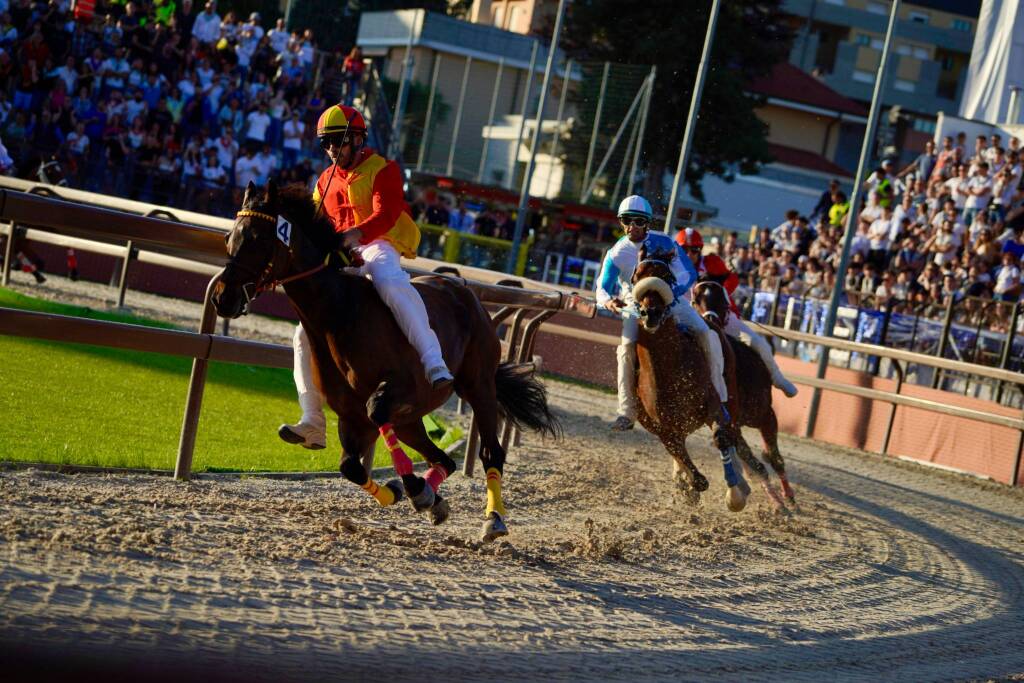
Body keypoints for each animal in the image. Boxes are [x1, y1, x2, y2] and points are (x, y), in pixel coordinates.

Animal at [209, 179, 561, 540]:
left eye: (257, 239)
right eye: (229, 237)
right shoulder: (351, 416)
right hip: (411, 420)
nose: (223, 297)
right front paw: (401, 491)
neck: (340, 313)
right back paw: (433, 496)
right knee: (443, 460)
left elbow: (375, 410)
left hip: (478, 387)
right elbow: (349, 466)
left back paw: (493, 518)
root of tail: (465, 293)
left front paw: (412, 485)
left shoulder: (401, 389)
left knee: (491, 451)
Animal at [622, 246, 753, 511]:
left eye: (667, 276)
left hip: (731, 396)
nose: (651, 313)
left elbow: (721, 437)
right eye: (637, 277)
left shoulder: (712, 404)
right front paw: (687, 484)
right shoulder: (663, 429)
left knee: (731, 431)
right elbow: (690, 470)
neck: (669, 370)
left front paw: (734, 496)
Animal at [692, 278, 794, 507]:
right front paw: (776, 502)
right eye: (695, 301)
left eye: (723, 301)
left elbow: (775, 459)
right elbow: (756, 465)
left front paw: (788, 495)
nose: (709, 320)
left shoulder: (767, 415)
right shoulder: (731, 424)